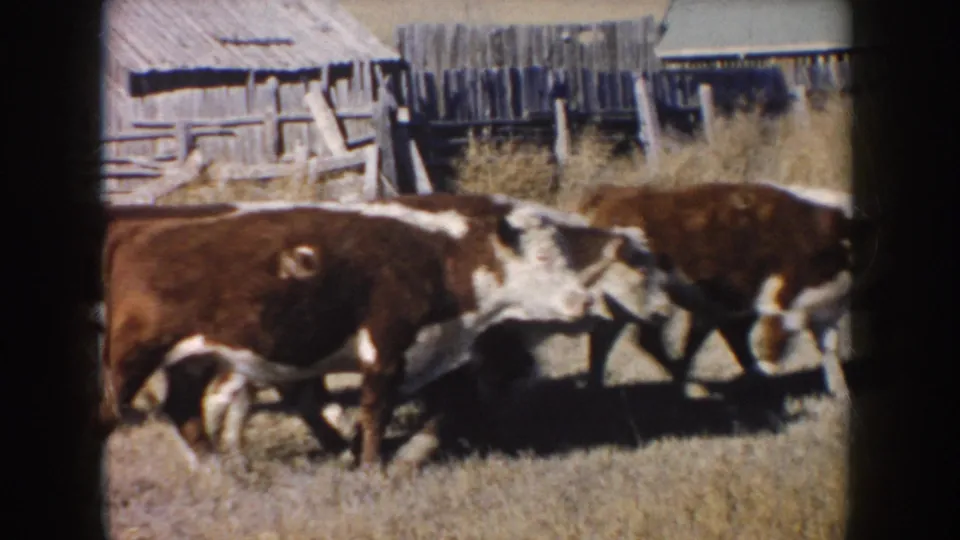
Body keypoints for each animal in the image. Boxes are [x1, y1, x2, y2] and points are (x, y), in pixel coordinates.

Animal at [99, 195, 602, 471]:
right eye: (542, 259)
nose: (583, 300)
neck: (439, 258)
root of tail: (143, 230)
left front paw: (359, 455)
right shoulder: (384, 346)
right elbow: (375, 410)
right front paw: (373, 468)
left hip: (194, 359)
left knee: (187, 410)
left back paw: (221, 472)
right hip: (131, 356)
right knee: (112, 412)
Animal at [571, 181, 875, 400]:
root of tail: (614, 194)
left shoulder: (824, 311)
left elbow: (829, 351)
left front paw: (840, 393)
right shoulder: (780, 306)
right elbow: (770, 354)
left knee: (626, 338)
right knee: (628, 339)